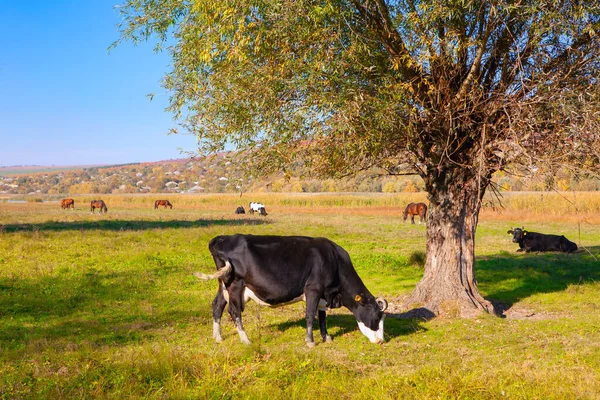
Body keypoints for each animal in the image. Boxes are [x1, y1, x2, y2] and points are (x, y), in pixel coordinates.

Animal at [195, 234, 386, 346]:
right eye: (377, 317)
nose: (382, 341)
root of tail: (222, 238)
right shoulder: (313, 289)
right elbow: (310, 315)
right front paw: (310, 342)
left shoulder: (323, 294)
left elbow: (323, 318)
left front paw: (326, 337)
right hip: (235, 284)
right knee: (234, 311)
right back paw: (245, 339)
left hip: (224, 283)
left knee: (217, 305)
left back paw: (218, 337)